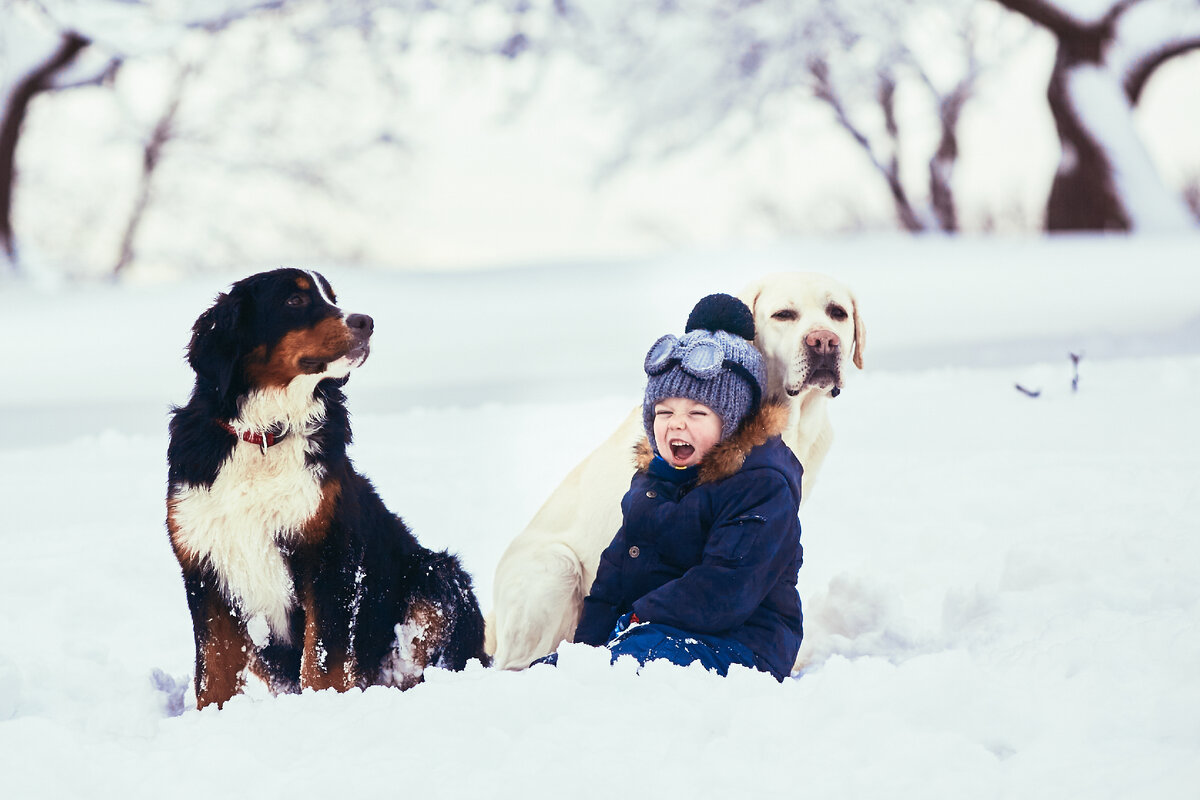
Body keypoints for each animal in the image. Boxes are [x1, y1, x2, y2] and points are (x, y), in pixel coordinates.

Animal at [168, 268, 487, 705]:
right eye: (295, 300)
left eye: (332, 297)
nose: (366, 322)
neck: (266, 435)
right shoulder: (204, 565)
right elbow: (214, 671)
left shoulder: (329, 552)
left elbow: (321, 660)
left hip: (435, 576)